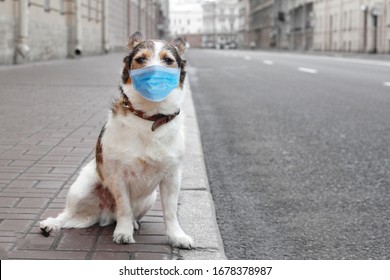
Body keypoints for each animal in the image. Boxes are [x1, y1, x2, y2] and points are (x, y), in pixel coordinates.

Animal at [39, 31, 193, 248]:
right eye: (140, 59)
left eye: (168, 60)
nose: (153, 76)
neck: (149, 117)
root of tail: (104, 215)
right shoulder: (118, 177)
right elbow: (124, 208)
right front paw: (123, 232)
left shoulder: (172, 177)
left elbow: (170, 212)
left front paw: (176, 236)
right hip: (82, 188)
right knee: (67, 215)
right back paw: (51, 224)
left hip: (149, 199)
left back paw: (134, 224)